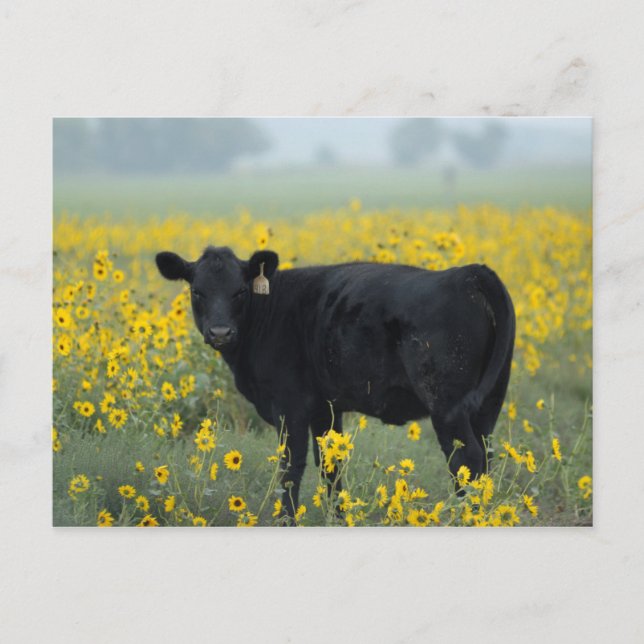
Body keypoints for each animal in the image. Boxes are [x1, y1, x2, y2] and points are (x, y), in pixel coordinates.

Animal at [156, 246, 515, 520]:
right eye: (197, 291)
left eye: (240, 291)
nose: (220, 332)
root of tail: (468, 273)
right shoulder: (325, 408)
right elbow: (332, 466)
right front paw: (339, 518)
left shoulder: (289, 406)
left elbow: (291, 467)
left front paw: (287, 520)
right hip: (488, 403)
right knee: (485, 458)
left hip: (447, 405)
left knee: (467, 461)